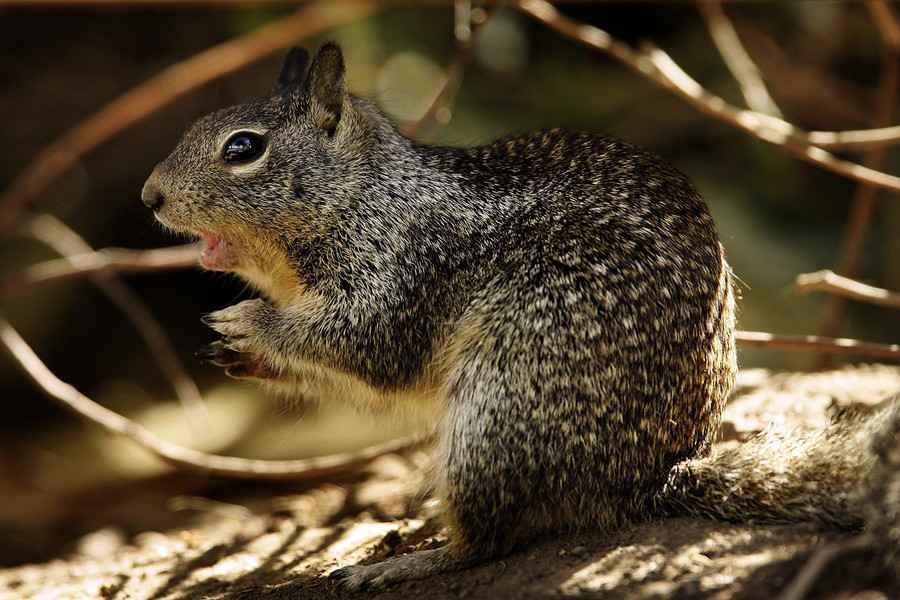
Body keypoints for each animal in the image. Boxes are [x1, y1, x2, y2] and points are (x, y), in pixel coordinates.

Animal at [141, 43, 900, 592]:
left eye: (243, 148)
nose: (150, 196)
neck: (365, 193)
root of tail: (650, 477)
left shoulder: (405, 268)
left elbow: (367, 345)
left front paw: (250, 326)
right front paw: (235, 352)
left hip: (498, 412)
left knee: (488, 540)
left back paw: (401, 562)